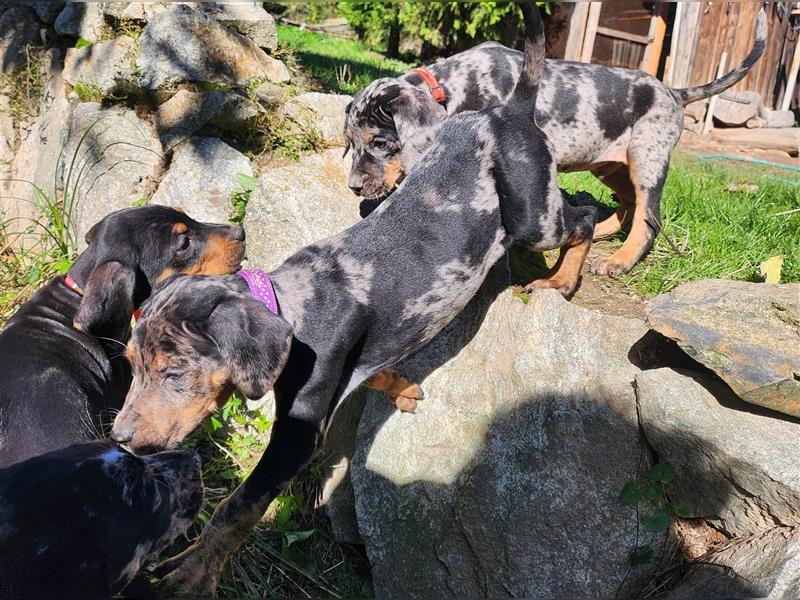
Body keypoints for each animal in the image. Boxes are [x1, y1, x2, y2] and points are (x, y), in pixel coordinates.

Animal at [109, 4, 592, 596]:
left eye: (175, 373)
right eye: (132, 365)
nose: (120, 439)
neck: (289, 309)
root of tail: (510, 110)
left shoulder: (297, 436)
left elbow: (237, 507)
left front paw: (194, 572)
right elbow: (379, 365)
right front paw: (402, 387)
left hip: (532, 216)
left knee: (585, 215)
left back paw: (564, 278)